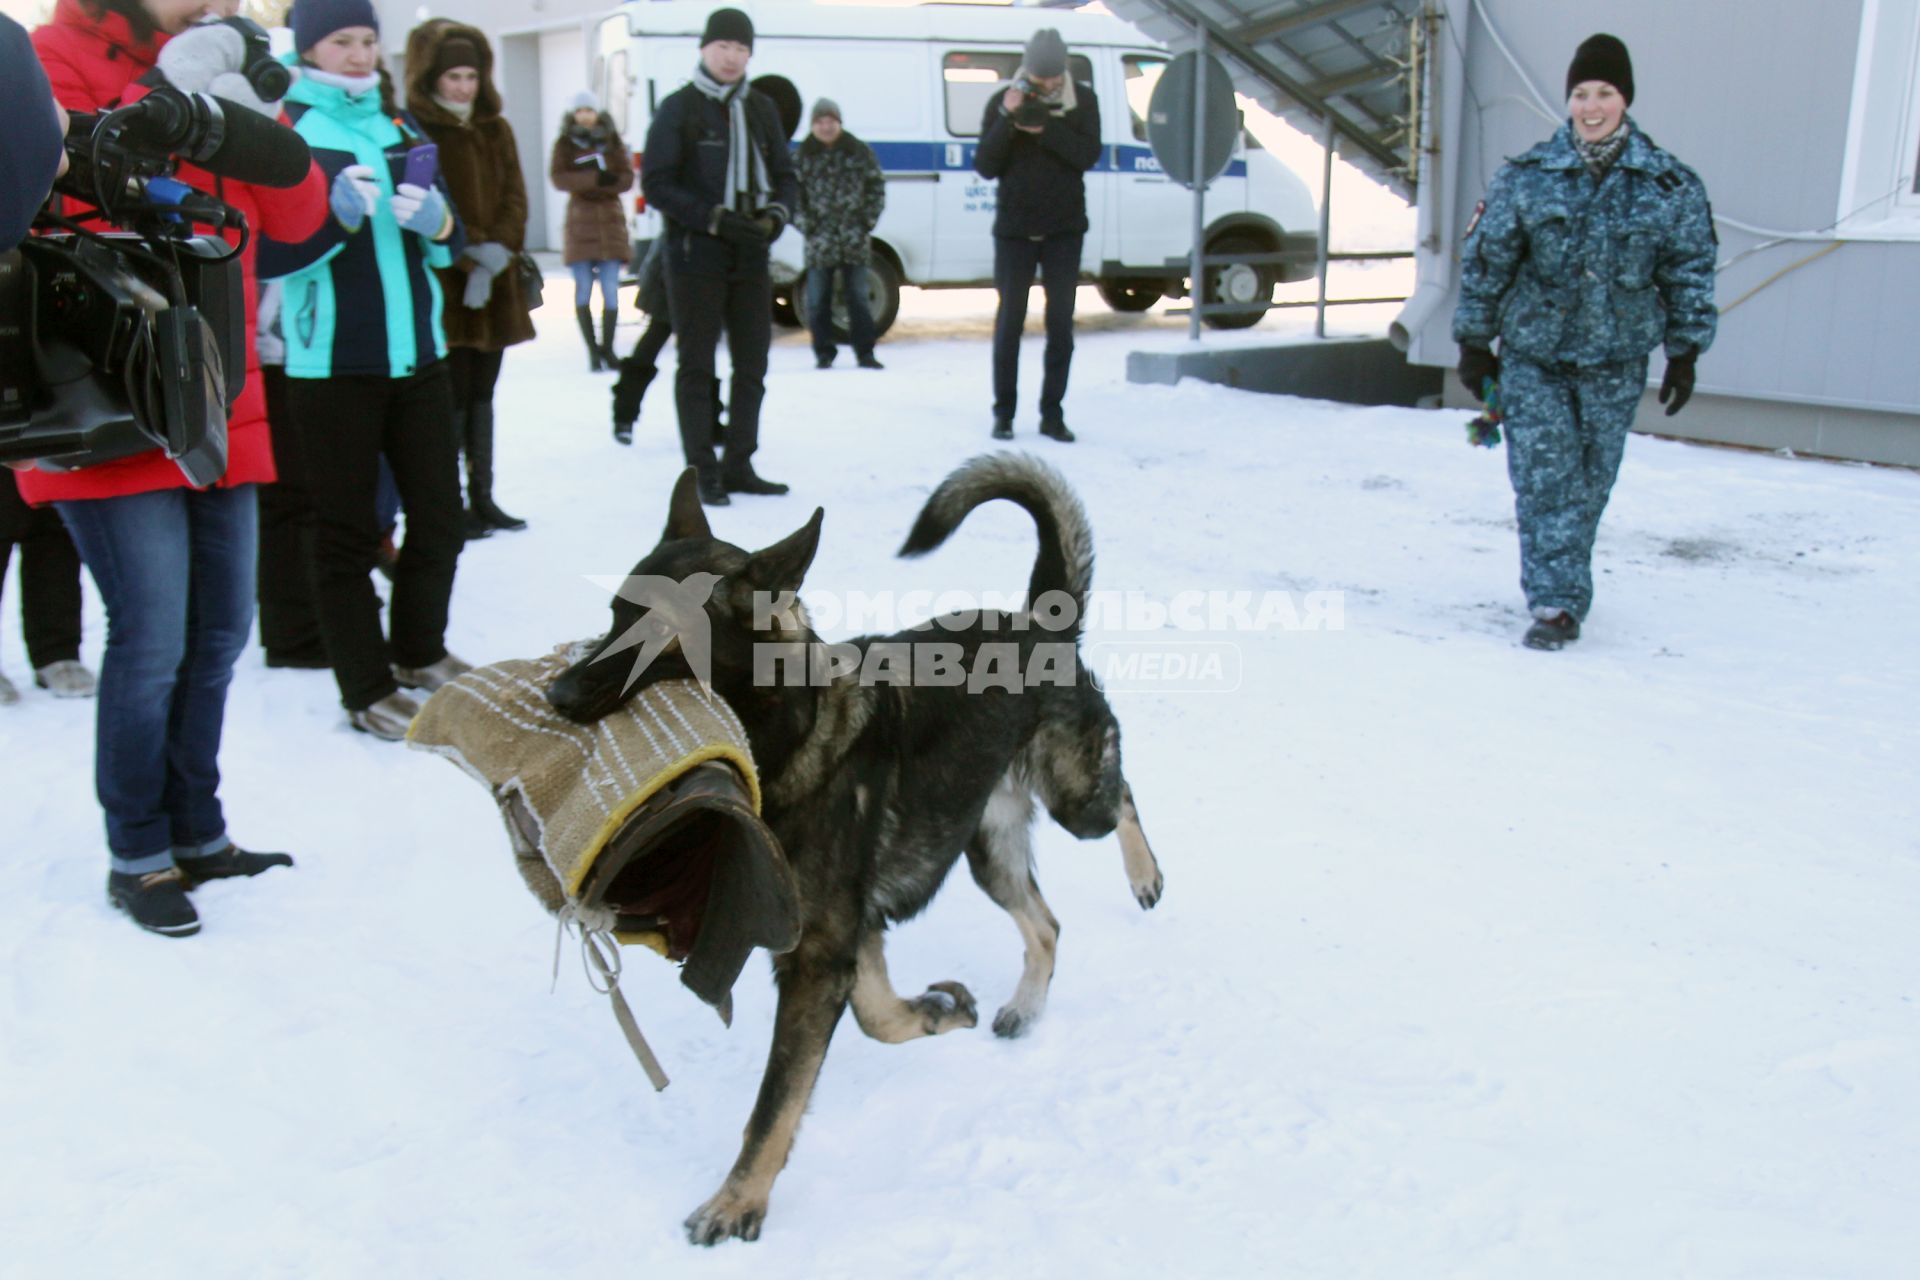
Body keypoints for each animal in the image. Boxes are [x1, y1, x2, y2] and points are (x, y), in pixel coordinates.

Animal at [549, 454, 1159, 1243]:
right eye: (614, 616)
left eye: (656, 634)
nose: (558, 695)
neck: (788, 731)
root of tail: (1039, 624)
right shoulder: (848, 938)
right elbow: (878, 1018)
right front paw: (938, 1012)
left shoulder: (820, 957)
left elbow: (774, 1103)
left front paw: (736, 1203)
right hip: (986, 850)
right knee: (1046, 924)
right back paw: (1023, 1008)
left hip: (1072, 797)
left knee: (1122, 796)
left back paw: (1145, 876)